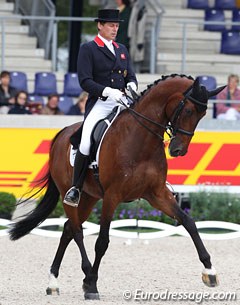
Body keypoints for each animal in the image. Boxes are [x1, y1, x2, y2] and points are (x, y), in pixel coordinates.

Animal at [8, 74, 224, 300]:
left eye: (203, 114)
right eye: (189, 110)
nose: (178, 150)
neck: (141, 140)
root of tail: (62, 134)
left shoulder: (157, 193)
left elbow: (188, 222)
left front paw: (210, 272)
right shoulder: (112, 196)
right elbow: (102, 241)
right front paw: (92, 285)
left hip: (89, 197)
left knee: (67, 229)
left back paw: (54, 282)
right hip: (70, 194)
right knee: (76, 231)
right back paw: (85, 274)